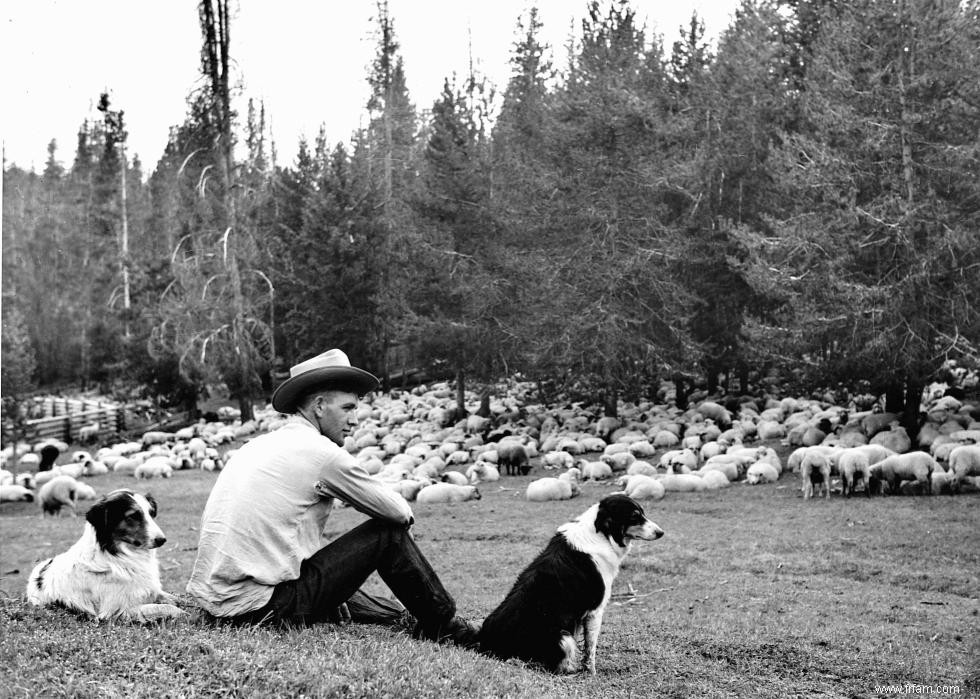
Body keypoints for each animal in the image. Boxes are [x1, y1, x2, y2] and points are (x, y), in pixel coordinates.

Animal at [27, 486, 188, 624]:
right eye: (133, 516)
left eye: (151, 513)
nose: (162, 540)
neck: (117, 556)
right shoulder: (115, 612)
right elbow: (163, 607)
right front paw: (183, 613)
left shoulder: (149, 591)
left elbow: (168, 597)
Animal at [478, 494, 664, 676]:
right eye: (634, 516)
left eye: (643, 513)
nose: (661, 532)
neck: (602, 535)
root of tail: (484, 641)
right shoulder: (595, 611)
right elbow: (590, 649)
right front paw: (591, 673)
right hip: (563, 637)